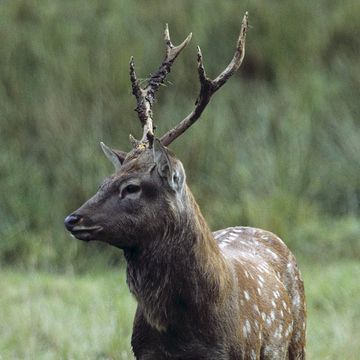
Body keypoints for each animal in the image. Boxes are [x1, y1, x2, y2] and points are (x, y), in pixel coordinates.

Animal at [64, 12, 306, 358]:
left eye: (132, 187)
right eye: (104, 181)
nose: (72, 219)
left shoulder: (236, 352)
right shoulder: (143, 351)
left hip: (297, 338)